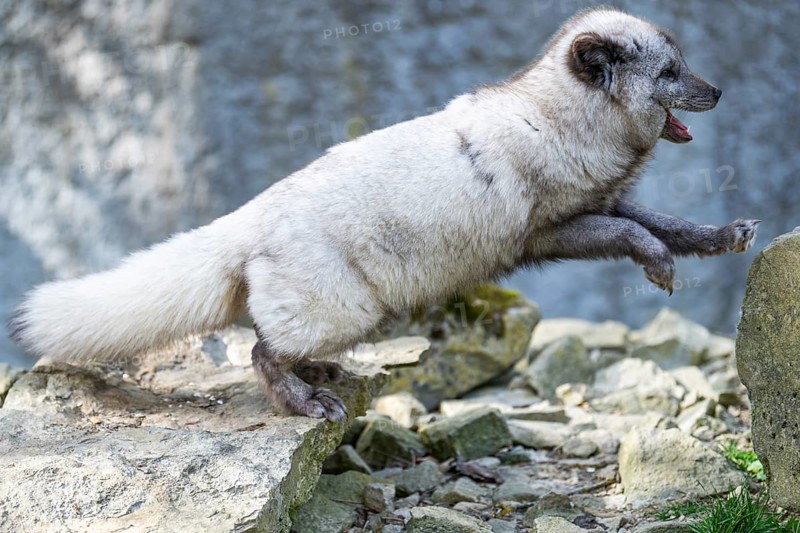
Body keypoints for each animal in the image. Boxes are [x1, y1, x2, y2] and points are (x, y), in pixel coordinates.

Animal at [10, 7, 758, 422]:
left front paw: (725, 237)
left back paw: (318, 377)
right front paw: (659, 267)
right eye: (670, 73)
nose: (720, 91)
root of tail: (247, 217)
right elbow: (637, 235)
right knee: (258, 349)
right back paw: (305, 400)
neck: (559, 122)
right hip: (348, 310)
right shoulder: (550, 233)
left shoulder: (606, 201)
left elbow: (669, 224)